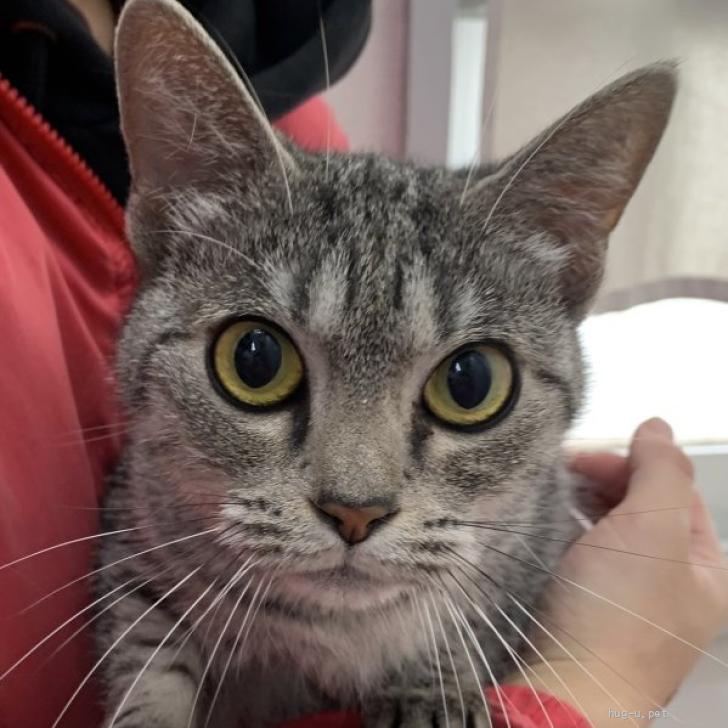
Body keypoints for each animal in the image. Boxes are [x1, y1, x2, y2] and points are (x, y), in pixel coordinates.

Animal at [94, 0, 676, 726]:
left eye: (471, 383)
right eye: (254, 360)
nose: (355, 511)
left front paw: (429, 694)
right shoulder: (130, 545)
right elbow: (146, 656)